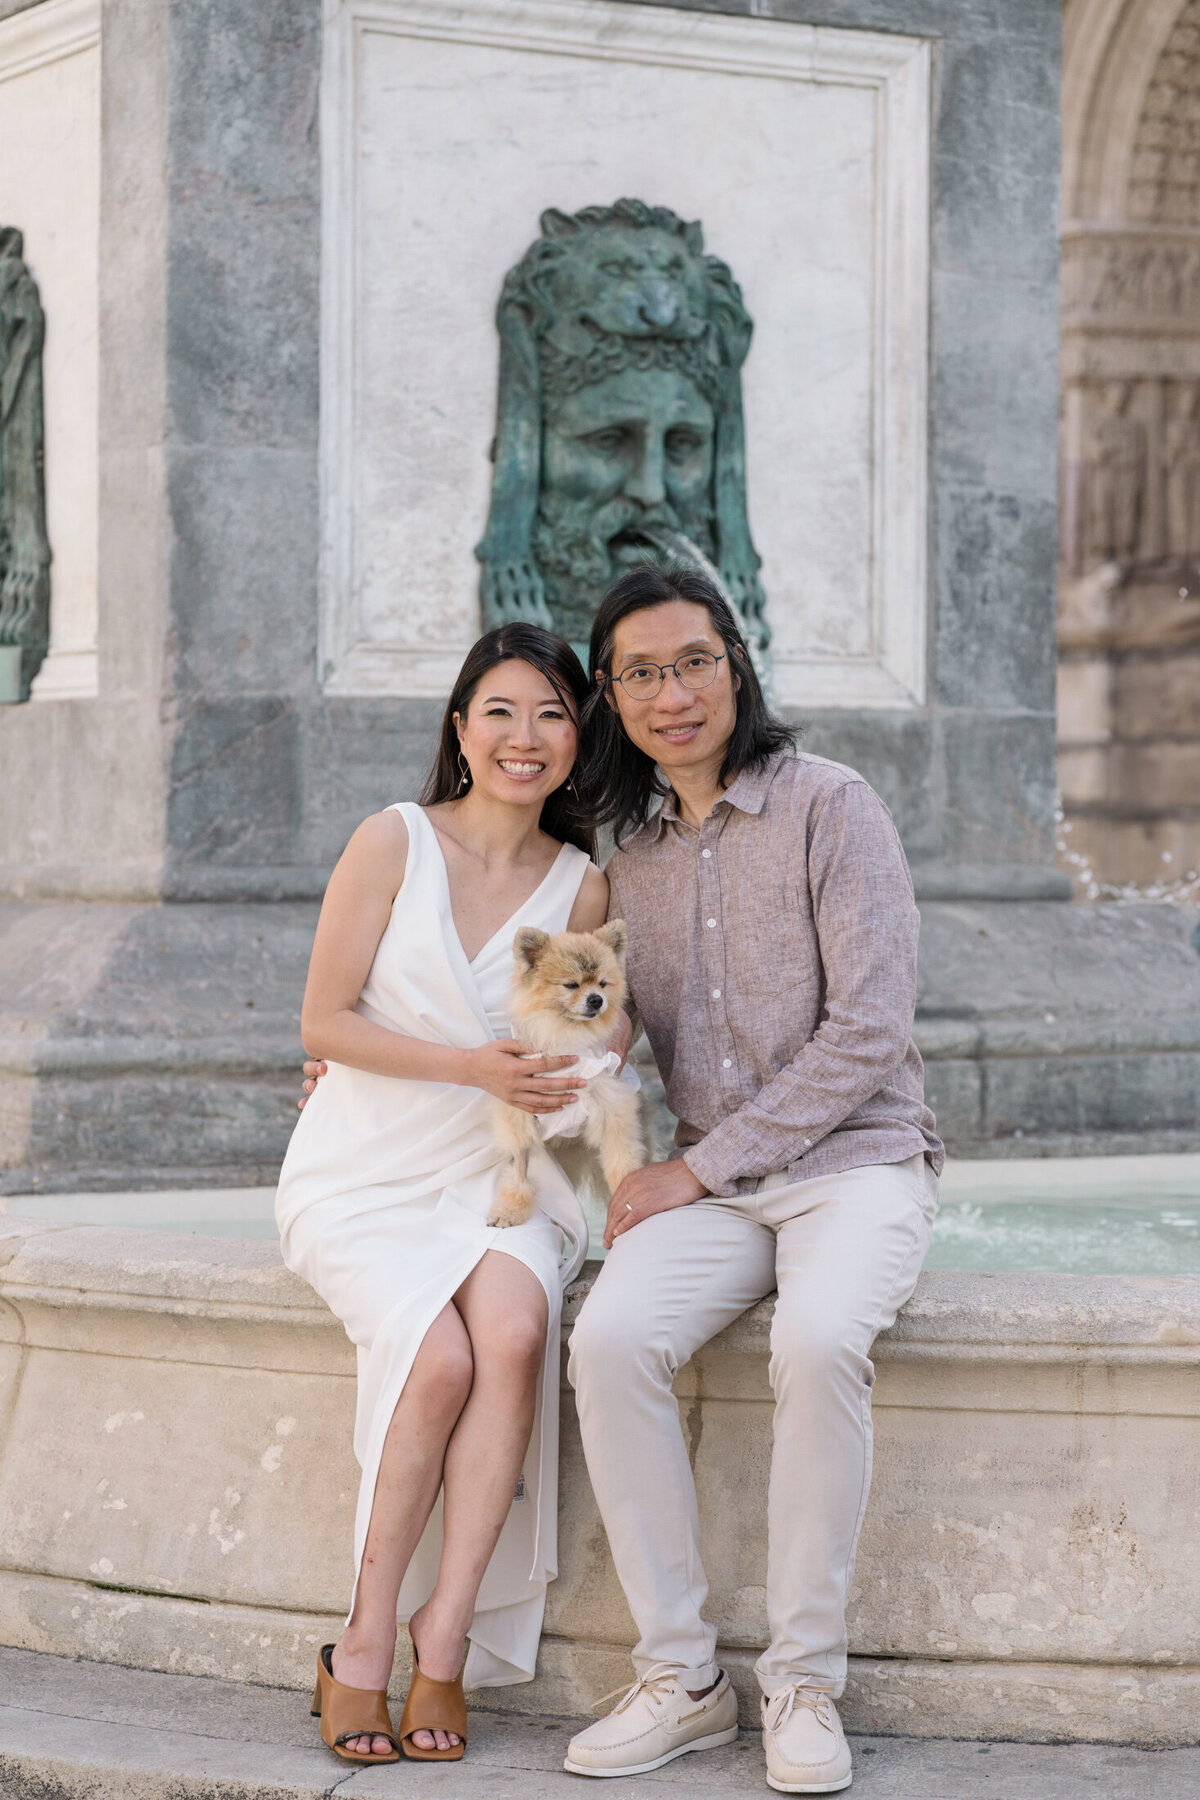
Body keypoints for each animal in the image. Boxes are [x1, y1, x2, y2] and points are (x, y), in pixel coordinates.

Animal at [489, 921, 647, 1231]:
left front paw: (628, 1192)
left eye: (602, 983)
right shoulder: (521, 1113)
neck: (565, 1034)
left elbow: (621, 1159)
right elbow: (520, 1167)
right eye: (571, 985)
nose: (596, 999)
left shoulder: (611, 1109)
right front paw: (511, 1207)